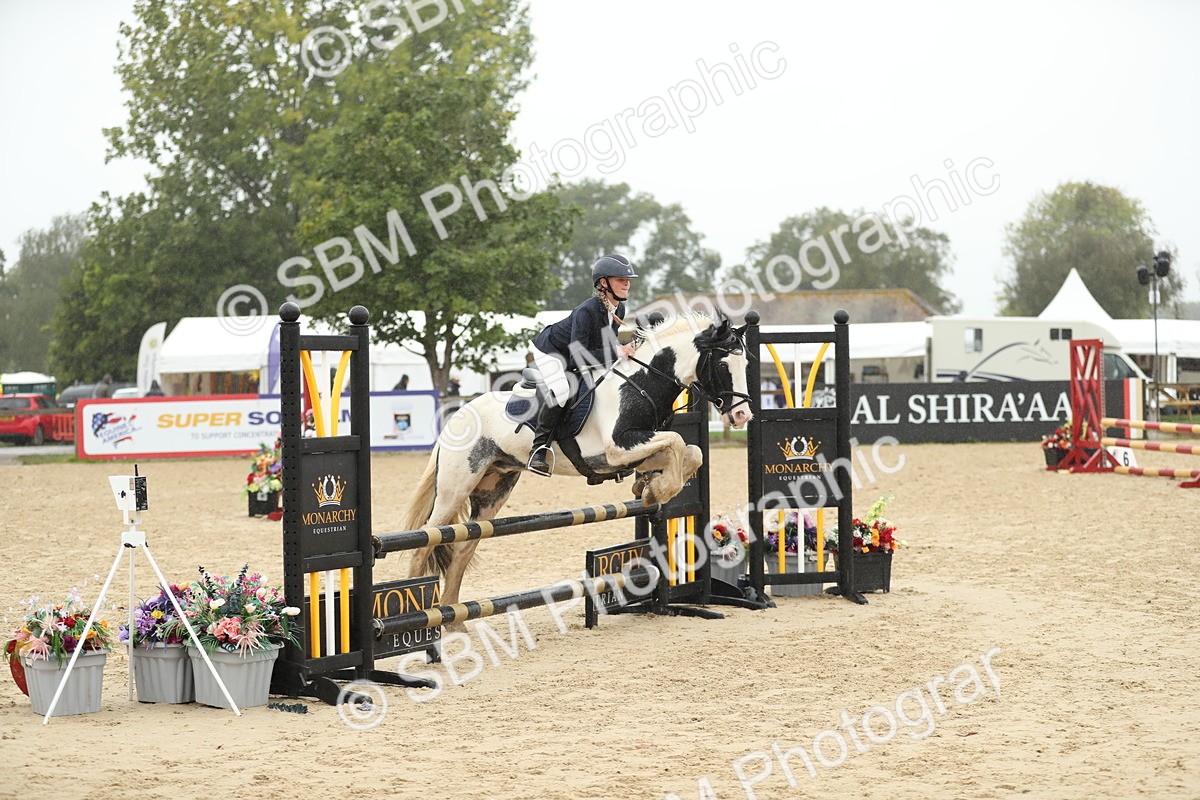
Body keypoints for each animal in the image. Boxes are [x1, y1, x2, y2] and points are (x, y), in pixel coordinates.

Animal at [401, 313, 755, 606]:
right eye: (723, 365)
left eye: (746, 366)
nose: (742, 416)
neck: (642, 384)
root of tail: (456, 415)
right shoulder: (616, 450)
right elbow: (678, 442)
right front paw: (656, 490)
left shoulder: (633, 450)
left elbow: (690, 452)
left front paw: (649, 486)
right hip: (455, 488)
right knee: (425, 543)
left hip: (493, 491)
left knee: (463, 546)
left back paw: (453, 621)